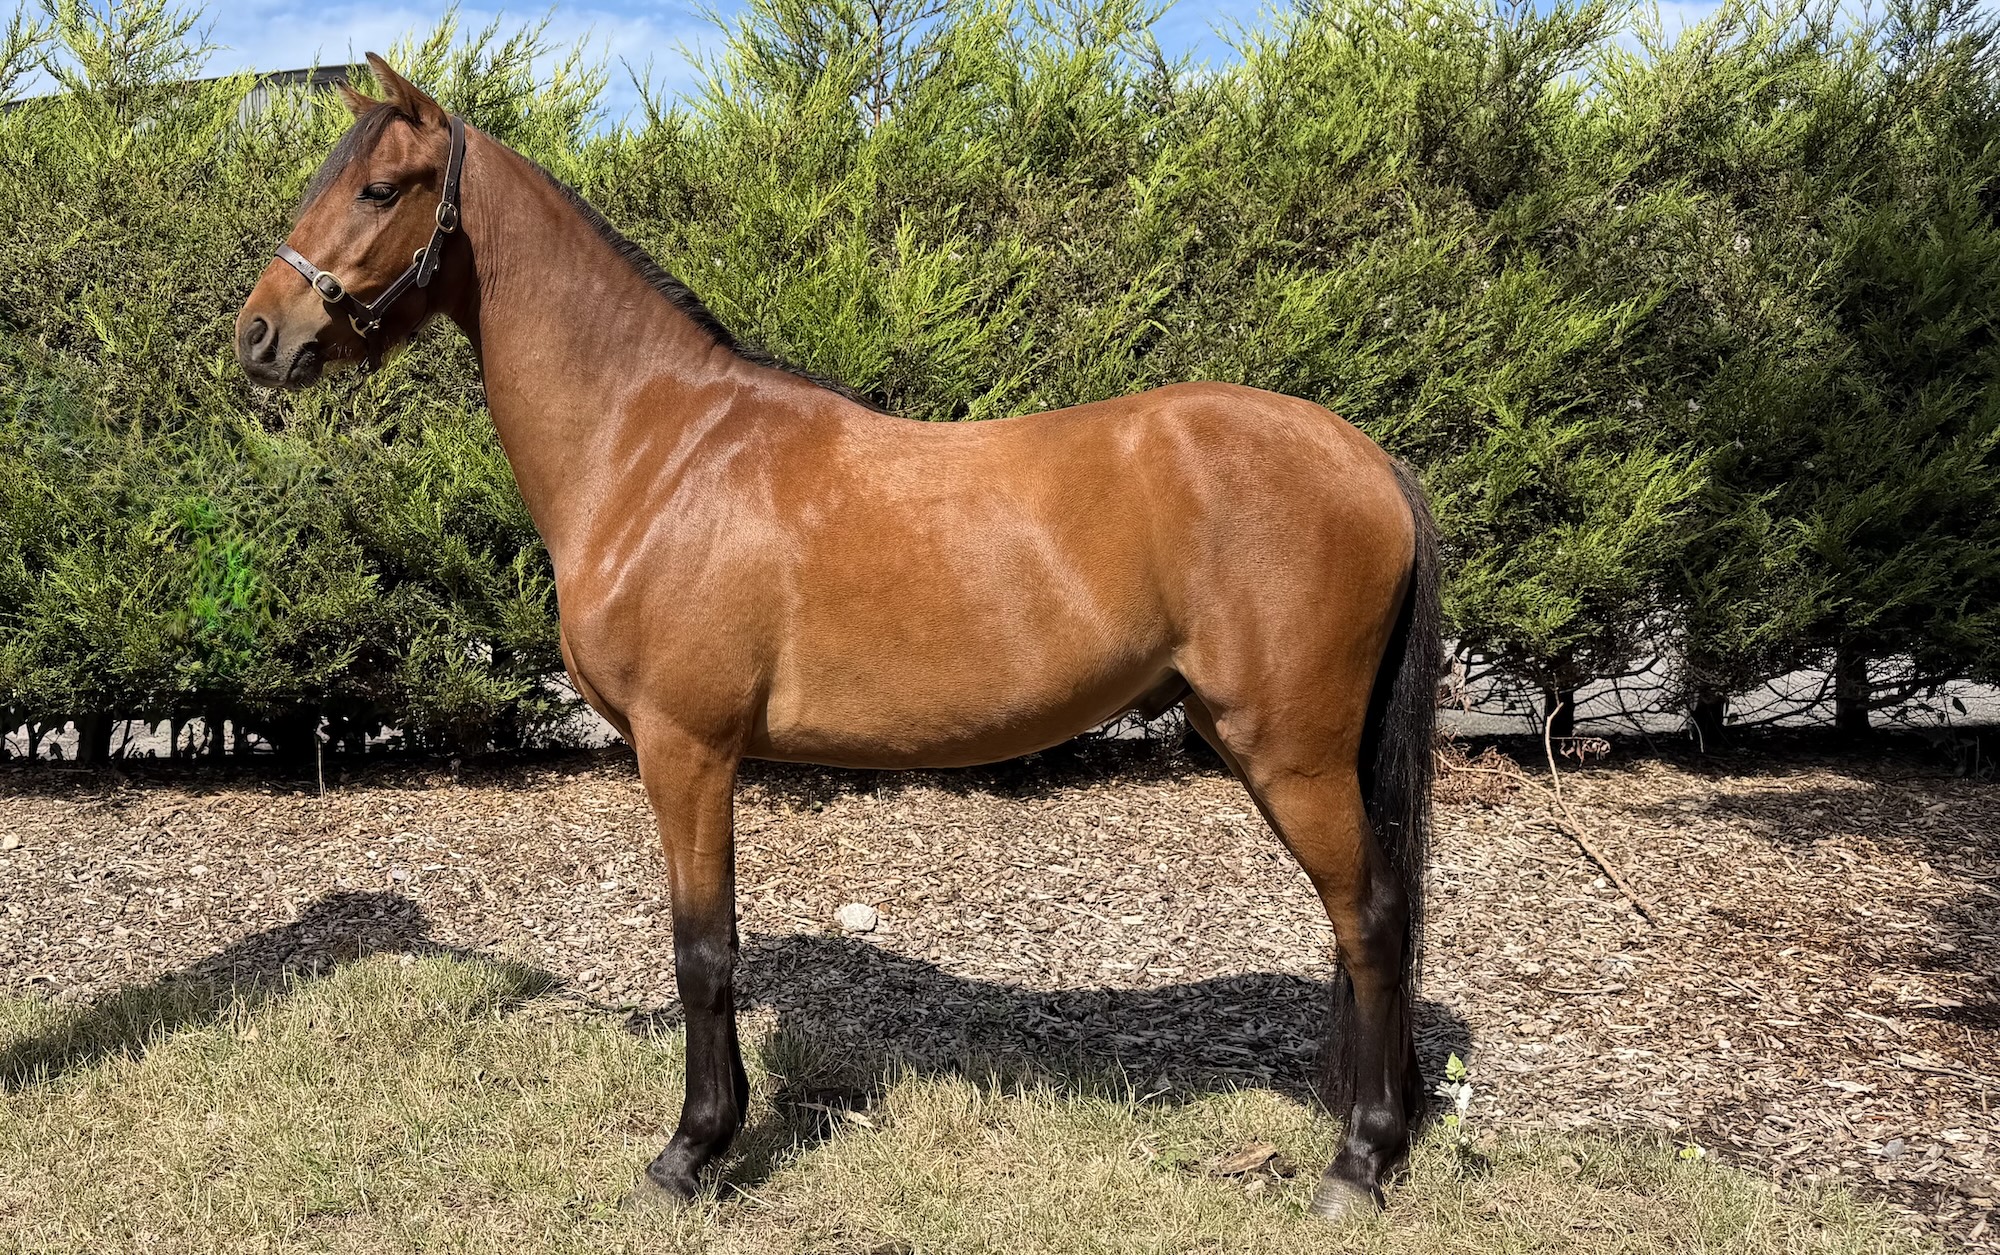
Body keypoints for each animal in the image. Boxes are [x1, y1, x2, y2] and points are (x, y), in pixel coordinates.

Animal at [233, 55, 1442, 1223]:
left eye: (379, 189)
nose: (258, 335)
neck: (658, 448)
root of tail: (1367, 459)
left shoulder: (685, 749)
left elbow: (703, 948)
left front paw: (691, 1151)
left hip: (1291, 752)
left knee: (1372, 919)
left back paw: (1358, 1162)